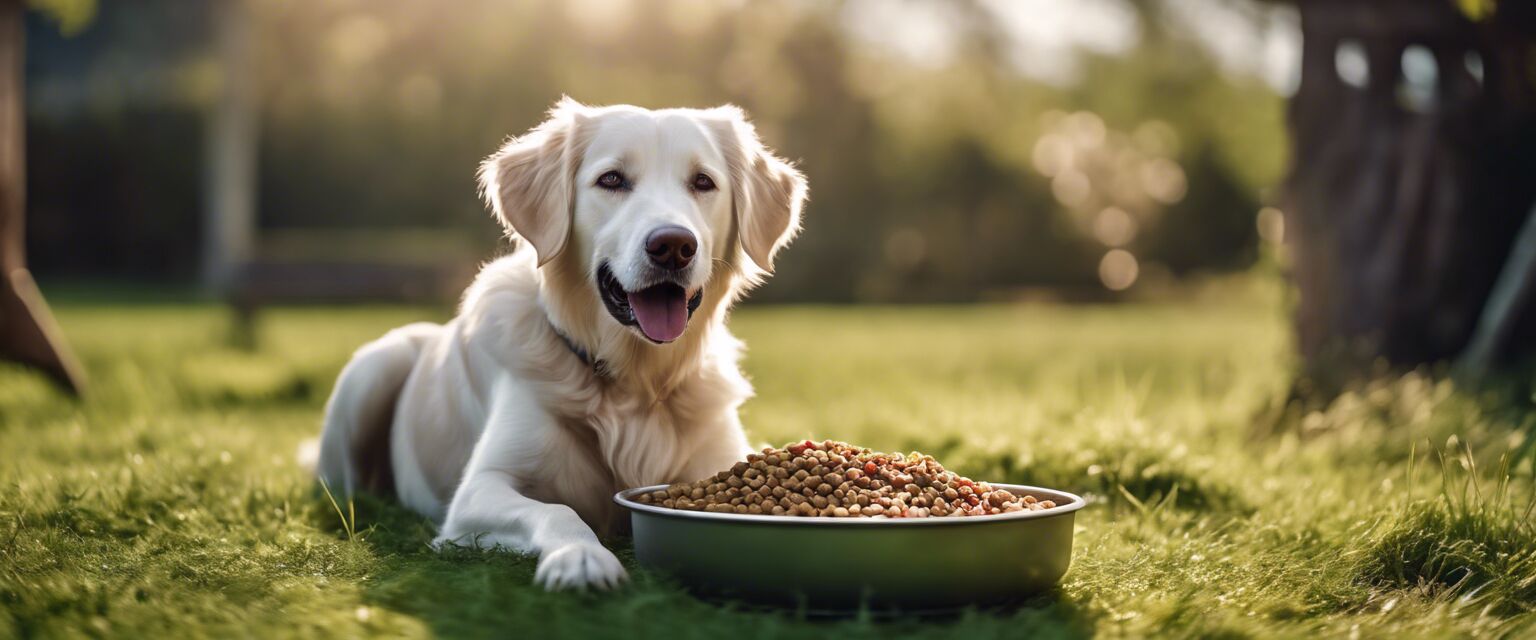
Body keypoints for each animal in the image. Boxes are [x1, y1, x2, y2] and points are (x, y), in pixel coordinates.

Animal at [316, 98, 811, 589]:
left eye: (703, 182)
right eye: (611, 179)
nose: (673, 245)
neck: (636, 384)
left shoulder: (719, 462)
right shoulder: (478, 491)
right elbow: (558, 510)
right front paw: (582, 557)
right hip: (374, 368)